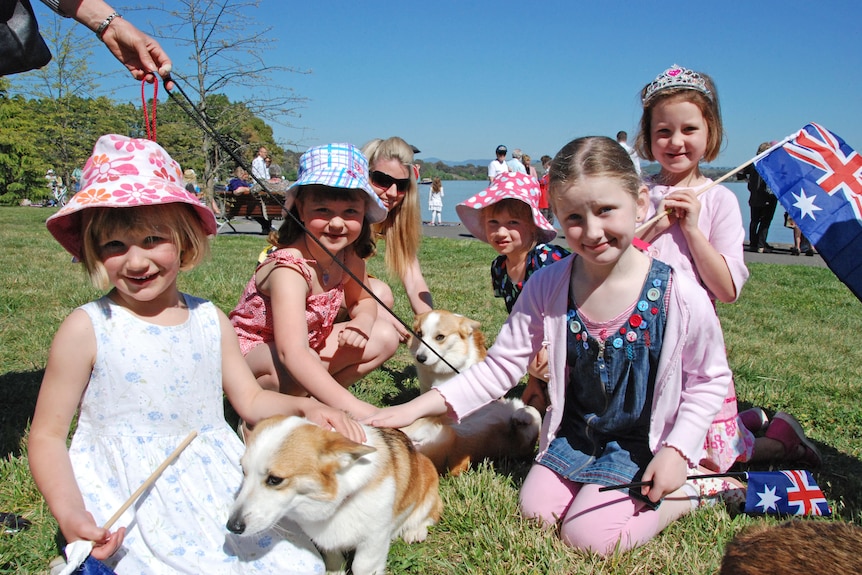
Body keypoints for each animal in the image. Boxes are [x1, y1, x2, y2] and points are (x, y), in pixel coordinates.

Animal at [228, 418, 442, 575]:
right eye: (243, 471)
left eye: (275, 480)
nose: (232, 527)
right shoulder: (327, 541)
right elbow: (333, 559)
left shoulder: (375, 538)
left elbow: (361, 566)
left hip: (429, 490)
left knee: (431, 514)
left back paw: (415, 531)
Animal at [404, 312, 540, 474]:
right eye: (419, 334)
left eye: (440, 337)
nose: (420, 358)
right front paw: (521, 415)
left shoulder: (522, 443)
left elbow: (535, 412)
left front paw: (521, 415)